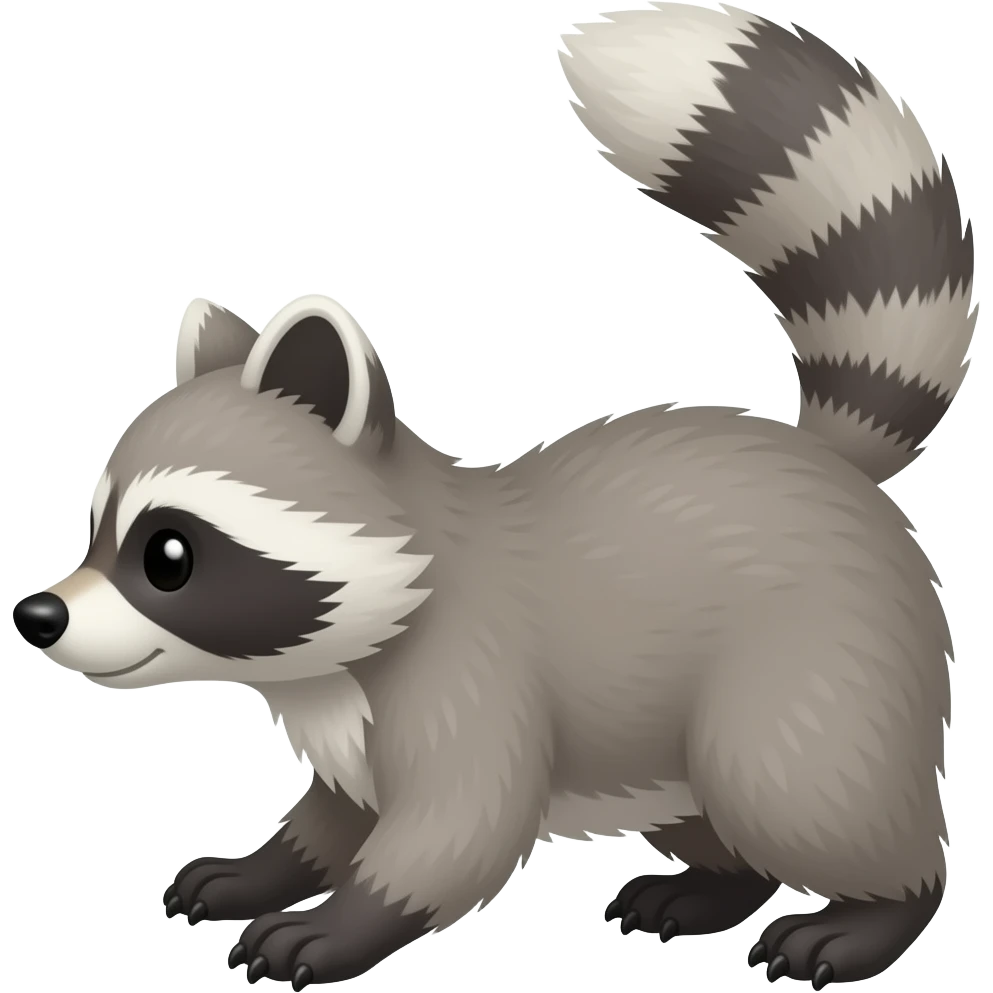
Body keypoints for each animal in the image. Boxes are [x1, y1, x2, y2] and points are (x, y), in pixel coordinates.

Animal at [12, 4, 974, 990]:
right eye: (95, 529)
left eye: (169, 554)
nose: (38, 615)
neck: (320, 665)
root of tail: (819, 459)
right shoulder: (346, 725)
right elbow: (333, 819)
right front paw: (263, 869)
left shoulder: (472, 671)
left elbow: (456, 830)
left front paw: (337, 922)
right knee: (714, 814)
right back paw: (713, 885)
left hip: (813, 664)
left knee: (796, 785)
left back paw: (873, 911)